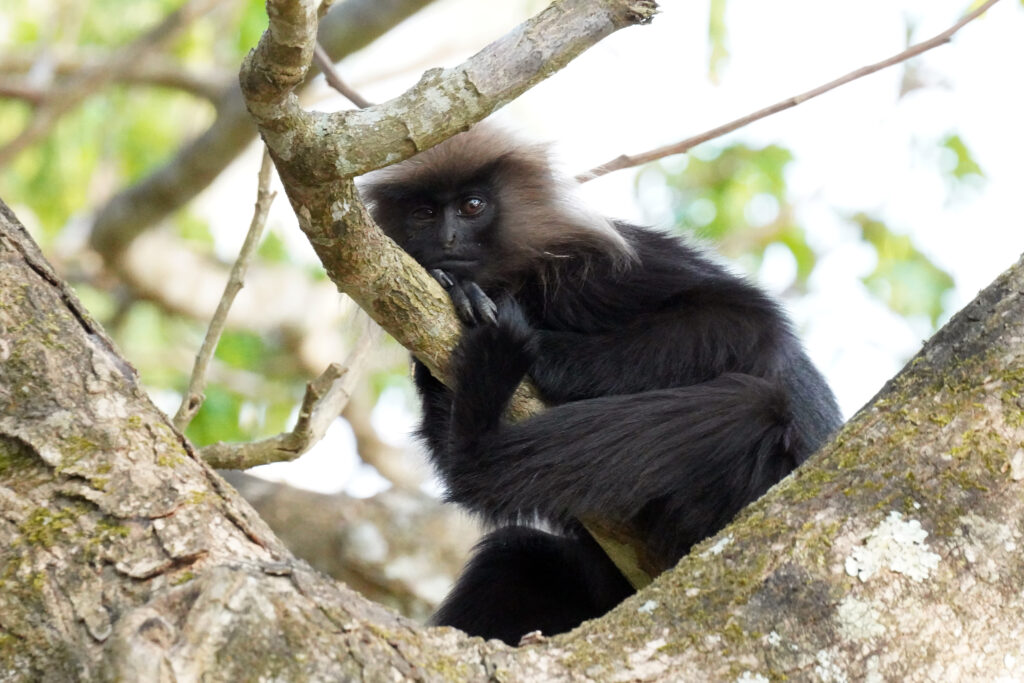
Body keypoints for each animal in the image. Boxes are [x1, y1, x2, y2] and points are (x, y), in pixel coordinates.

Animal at [360, 124, 839, 647]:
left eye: (472, 205)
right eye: (424, 214)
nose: (447, 237)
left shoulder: (590, 271)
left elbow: (744, 322)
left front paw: (542, 351)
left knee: (753, 404)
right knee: (512, 559)